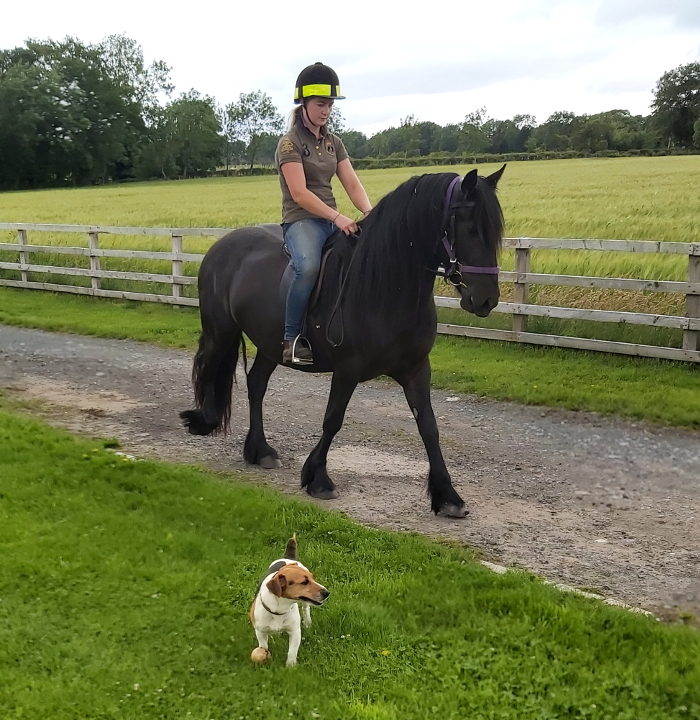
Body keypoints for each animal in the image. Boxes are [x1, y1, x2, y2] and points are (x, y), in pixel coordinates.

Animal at [182, 167, 504, 516]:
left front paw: (447, 495)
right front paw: (318, 478)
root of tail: (220, 246)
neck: (386, 285)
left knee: (256, 384)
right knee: (208, 365)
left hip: (270, 344)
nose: (486, 300)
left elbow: (429, 427)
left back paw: (260, 450)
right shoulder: (348, 369)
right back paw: (203, 421)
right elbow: (333, 420)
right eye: (471, 229)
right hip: (220, 330)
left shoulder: (416, 369)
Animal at [249, 532, 330, 668]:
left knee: (306, 608)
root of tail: (288, 557)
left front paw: (290, 667)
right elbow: (264, 646)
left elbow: (292, 652)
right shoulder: (260, 631)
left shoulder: (295, 631)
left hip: (305, 603)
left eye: (312, 578)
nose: (327, 593)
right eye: (304, 582)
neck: (279, 608)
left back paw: (307, 622)